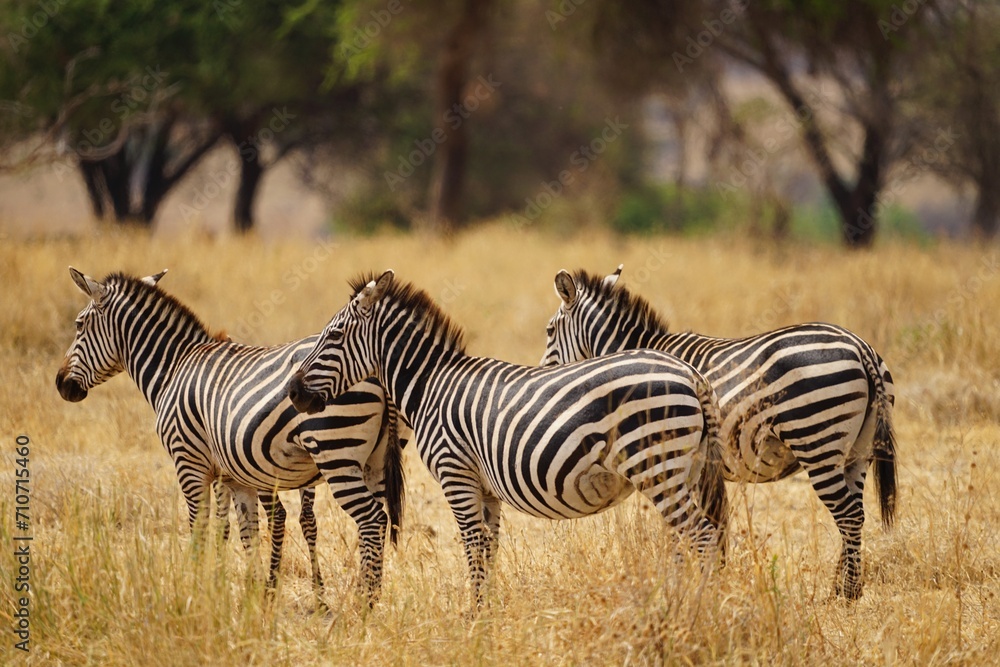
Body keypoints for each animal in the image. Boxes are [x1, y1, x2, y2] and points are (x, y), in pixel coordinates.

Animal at [55, 268, 405, 604]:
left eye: (78, 325)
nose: (61, 384)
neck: (174, 367)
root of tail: (375, 370)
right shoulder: (234, 477)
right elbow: (242, 531)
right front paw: (249, 594)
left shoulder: (189, 464)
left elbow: (201, 529)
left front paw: (196, 591)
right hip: (375, 460)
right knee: (374, 520)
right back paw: (365, 596)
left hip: (335, 453)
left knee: (371, 520)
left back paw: (364, 603)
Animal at [286, 270, 728, 607]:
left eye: (334, 335)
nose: (293, 393)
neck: (431, 384)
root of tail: (690, 373)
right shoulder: (486, 490)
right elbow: (489, 550)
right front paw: (488, 616)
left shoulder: (455, 473)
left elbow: (472, 547)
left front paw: (475, 622)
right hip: (686, 471)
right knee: (699, 539)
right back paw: (686, 604)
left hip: (658, 468)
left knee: (703, 538)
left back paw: (697, 610)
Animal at [539, 265, 898, 600]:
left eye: (549, 330)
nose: (543, 375)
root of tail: (860, 345)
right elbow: (711, 526)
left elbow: (692, 529)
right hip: (858, 452)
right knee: (856, 513)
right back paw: (843, 587)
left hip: (816, 440)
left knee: (847, 513)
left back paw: (847, 593)